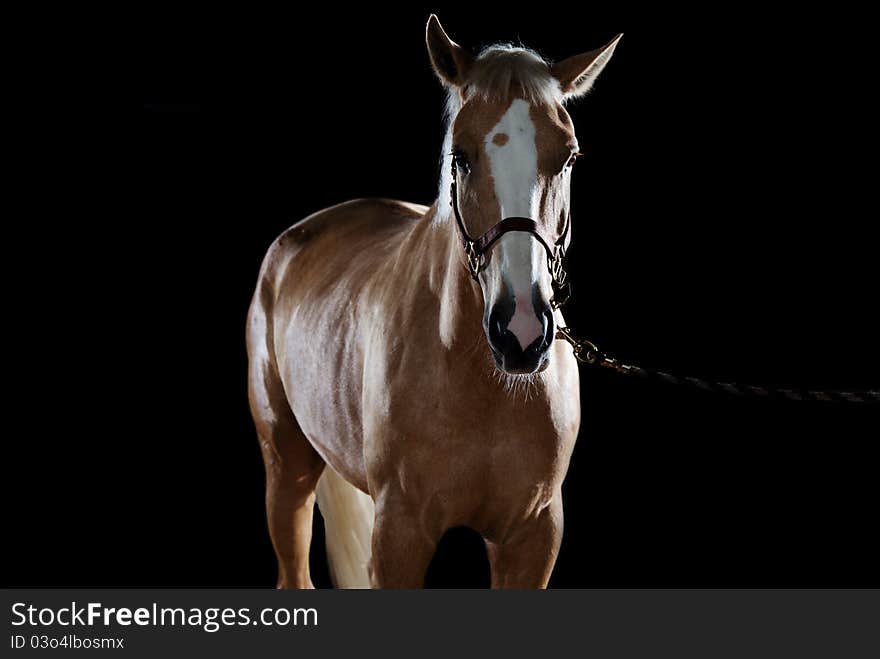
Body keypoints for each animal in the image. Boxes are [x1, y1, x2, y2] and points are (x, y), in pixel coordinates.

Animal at [244, 15, 624, 588]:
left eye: (569, 156)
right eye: (459, 156)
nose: (521, 332)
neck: (480, 381)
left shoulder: (533, 535)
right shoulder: (400, 534)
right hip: (286, 468)